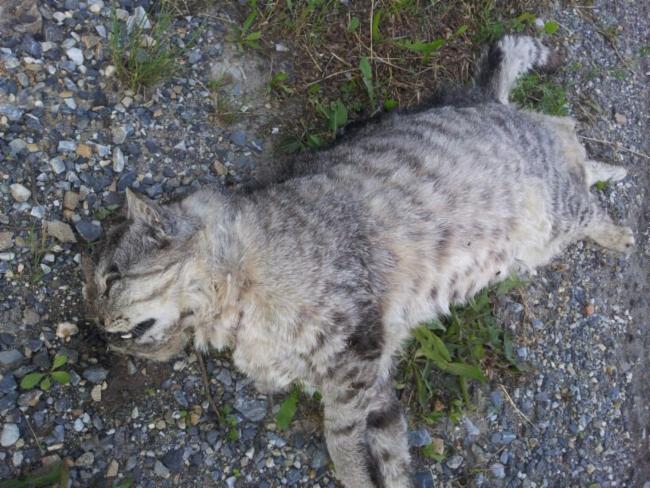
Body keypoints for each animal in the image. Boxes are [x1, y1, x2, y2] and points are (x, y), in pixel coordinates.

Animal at [83, 35, 633, 487]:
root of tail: (483, 100)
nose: (96, 326)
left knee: (578, 174)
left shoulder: (356, 347)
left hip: (552, 215)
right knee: (574, 146)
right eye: (94, 290)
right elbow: (389, 448)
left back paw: (619, 229)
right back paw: (613, 169)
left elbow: (341, 440)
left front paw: (353, 474)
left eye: (110, 279)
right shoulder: (371, 372)